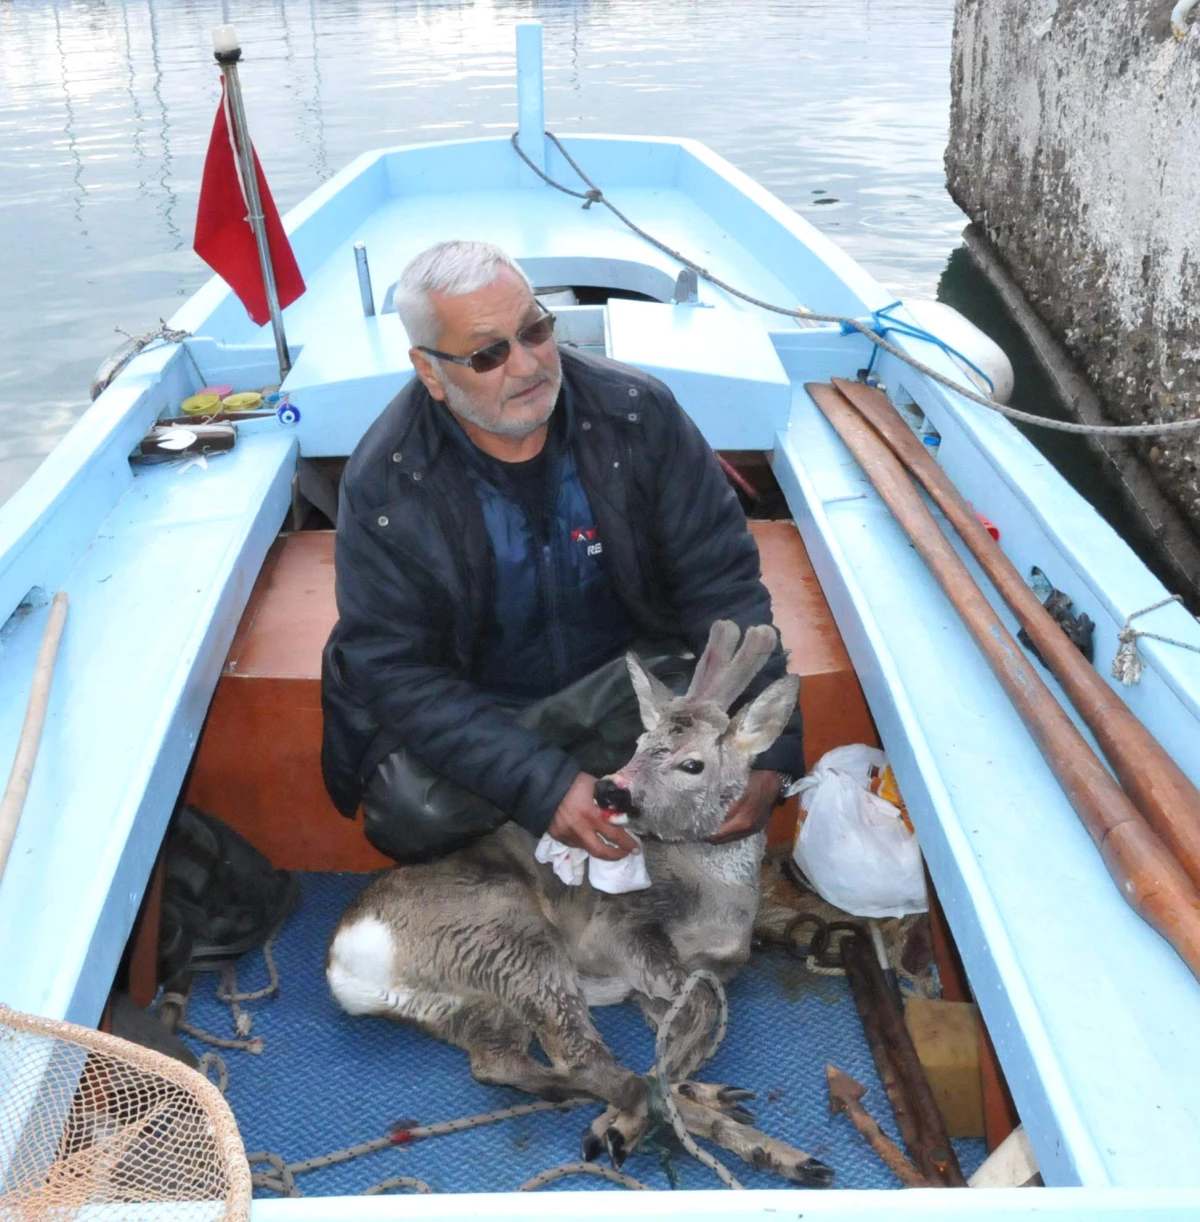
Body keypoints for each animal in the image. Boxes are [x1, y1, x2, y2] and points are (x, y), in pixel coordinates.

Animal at [329, 620, 835, 1182]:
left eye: (692, 764)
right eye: (640, 741)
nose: (611, 790)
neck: (719, 895)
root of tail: (345, 961)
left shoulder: (684, 977)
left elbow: (689, 1030)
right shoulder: (618, 929)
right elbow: (697, 1011)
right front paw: (626, 1125)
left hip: (468, 1003)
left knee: (500, 1063)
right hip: (511, 934)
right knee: (590, 1061)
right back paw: (757, 1146)